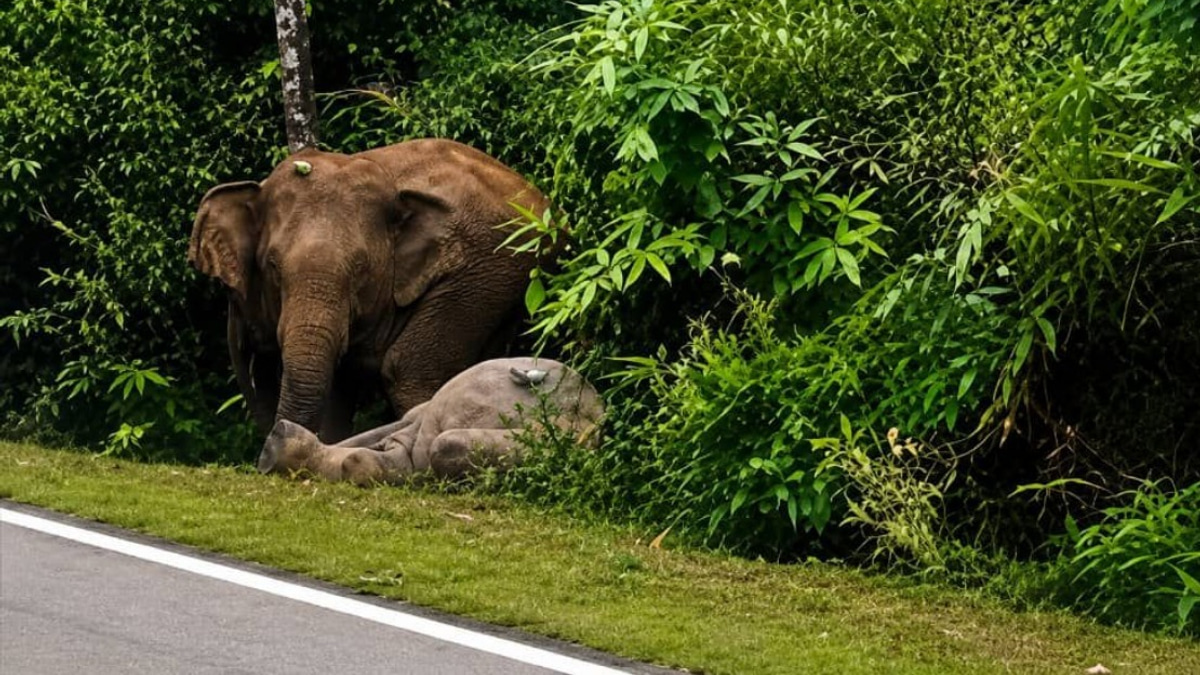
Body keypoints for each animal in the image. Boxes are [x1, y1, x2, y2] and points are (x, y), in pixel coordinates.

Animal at [255, 357, 604, 485]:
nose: (275, 431)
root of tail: (597, 411)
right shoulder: (409, 422)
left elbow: (359, 462)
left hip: (569, 435)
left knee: (444, 445)